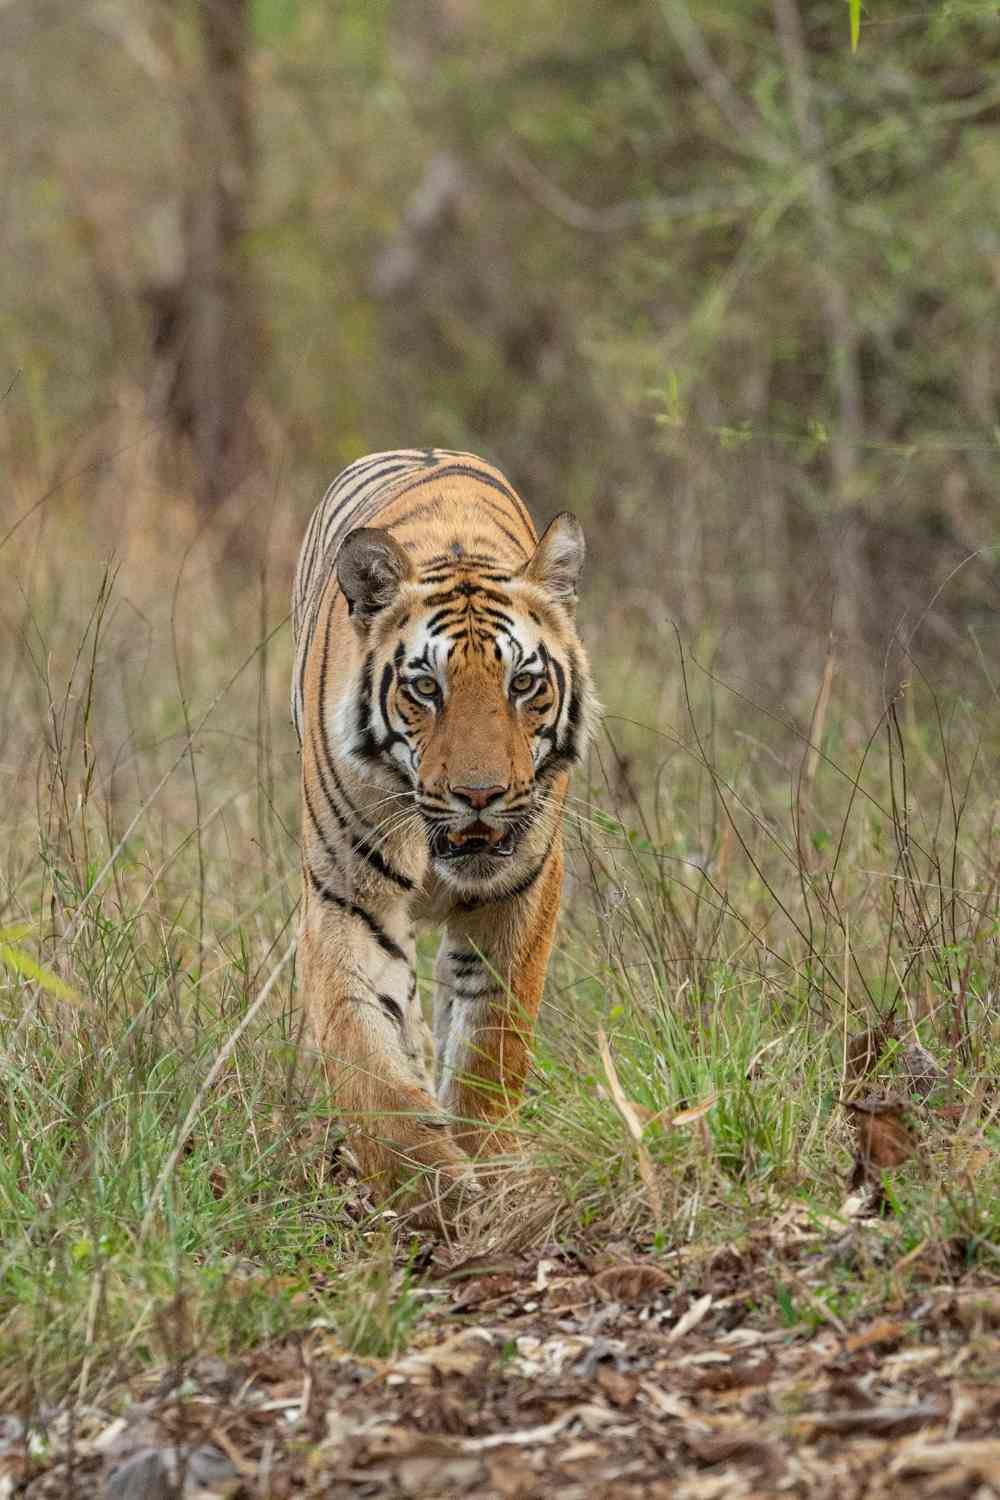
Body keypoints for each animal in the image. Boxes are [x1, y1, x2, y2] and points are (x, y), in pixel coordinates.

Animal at [293, 447, 599, 1218]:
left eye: (523, 684)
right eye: (426, 687)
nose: (479, 794)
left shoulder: (521, 891)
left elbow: (492, 1042)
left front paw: (491, 1171)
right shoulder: (347, 899)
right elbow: (366, 1053)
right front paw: (430, 1190)